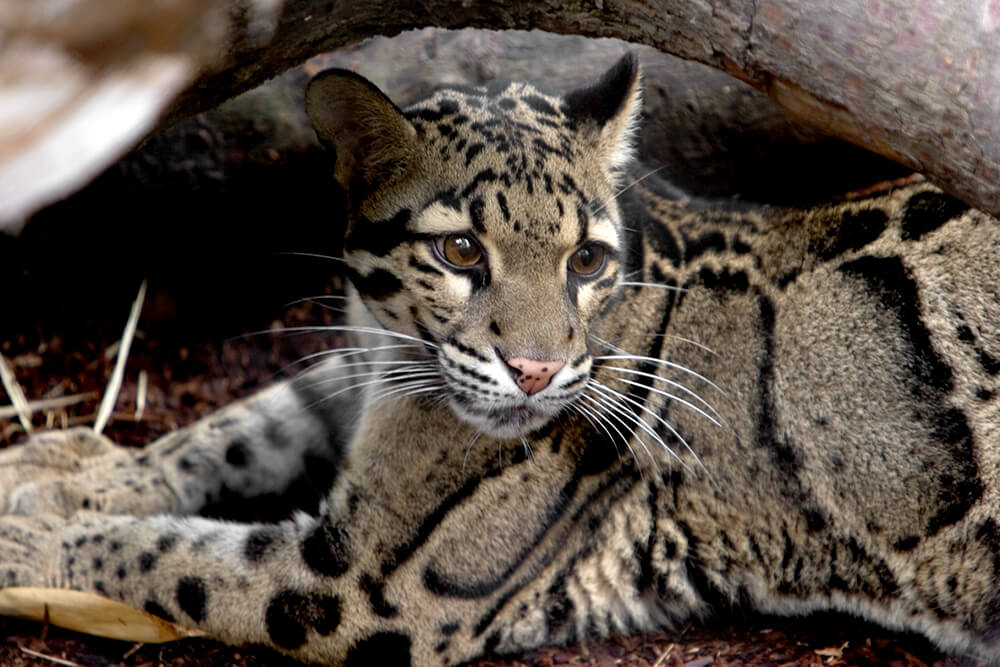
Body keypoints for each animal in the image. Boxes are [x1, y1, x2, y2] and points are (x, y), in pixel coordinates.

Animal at [1, 52, 999, 666]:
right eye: (460, 252)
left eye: (585, 260)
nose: (536, 372)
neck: (397, 351)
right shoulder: (363, 370)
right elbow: (244, 425)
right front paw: (64, 467)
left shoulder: (368, 581)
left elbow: (167, 552)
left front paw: (33, 536)